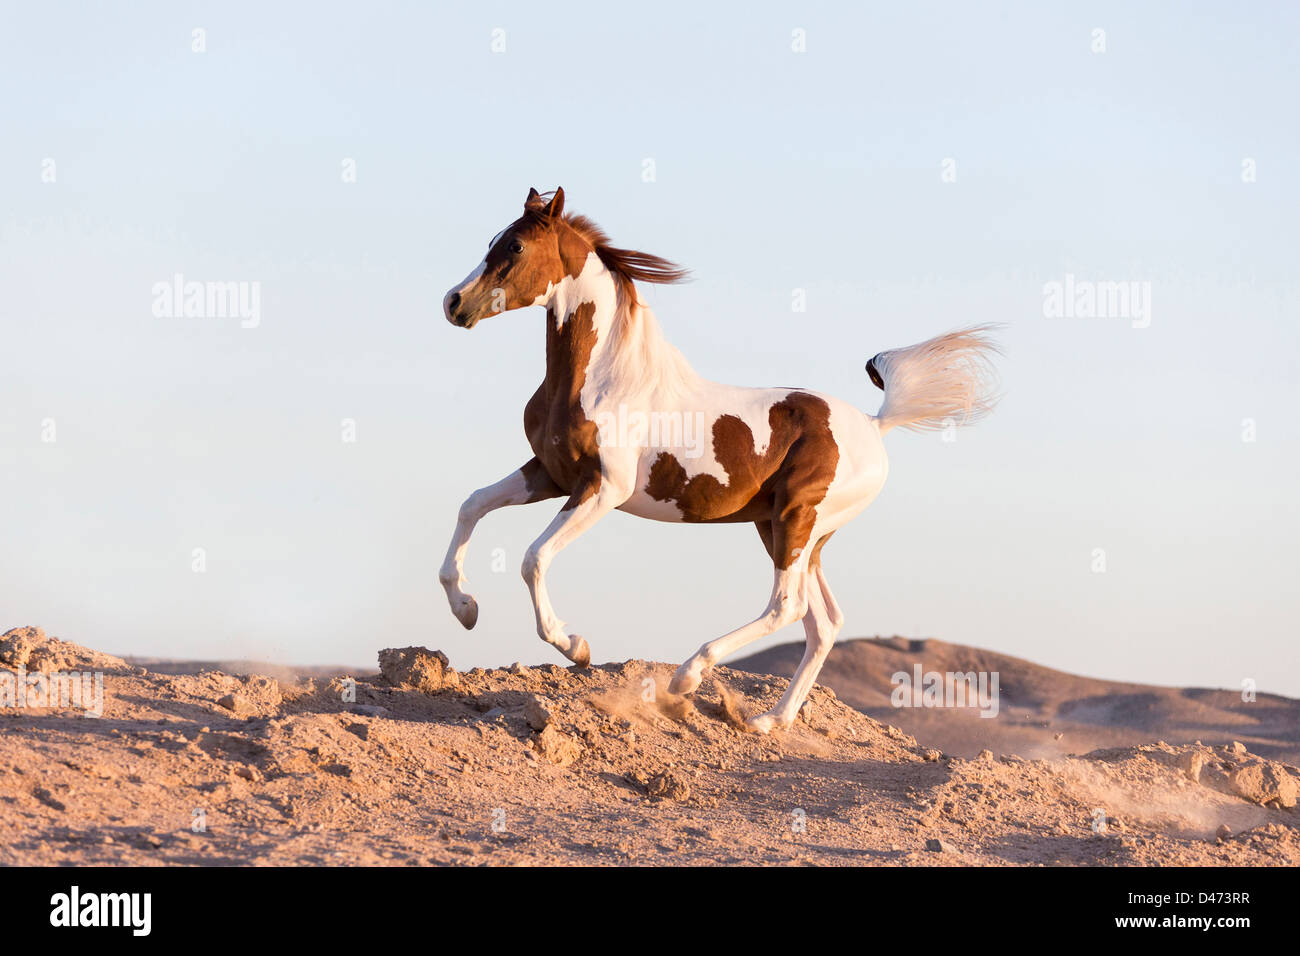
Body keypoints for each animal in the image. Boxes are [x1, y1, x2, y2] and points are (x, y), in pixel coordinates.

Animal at [441, 184, 998, 733]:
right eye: (493, 240)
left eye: (515, 246)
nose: (454, 302)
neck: (603, 378)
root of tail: (872, 424)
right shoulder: (550, 474)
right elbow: (472, 504)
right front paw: (466, 608)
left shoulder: (603, 489)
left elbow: (534, 558)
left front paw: (575, 646)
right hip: (791, 530)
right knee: (823, 622)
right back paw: (769, 720)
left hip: (797, 519)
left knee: (787, 606)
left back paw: (689, 676)